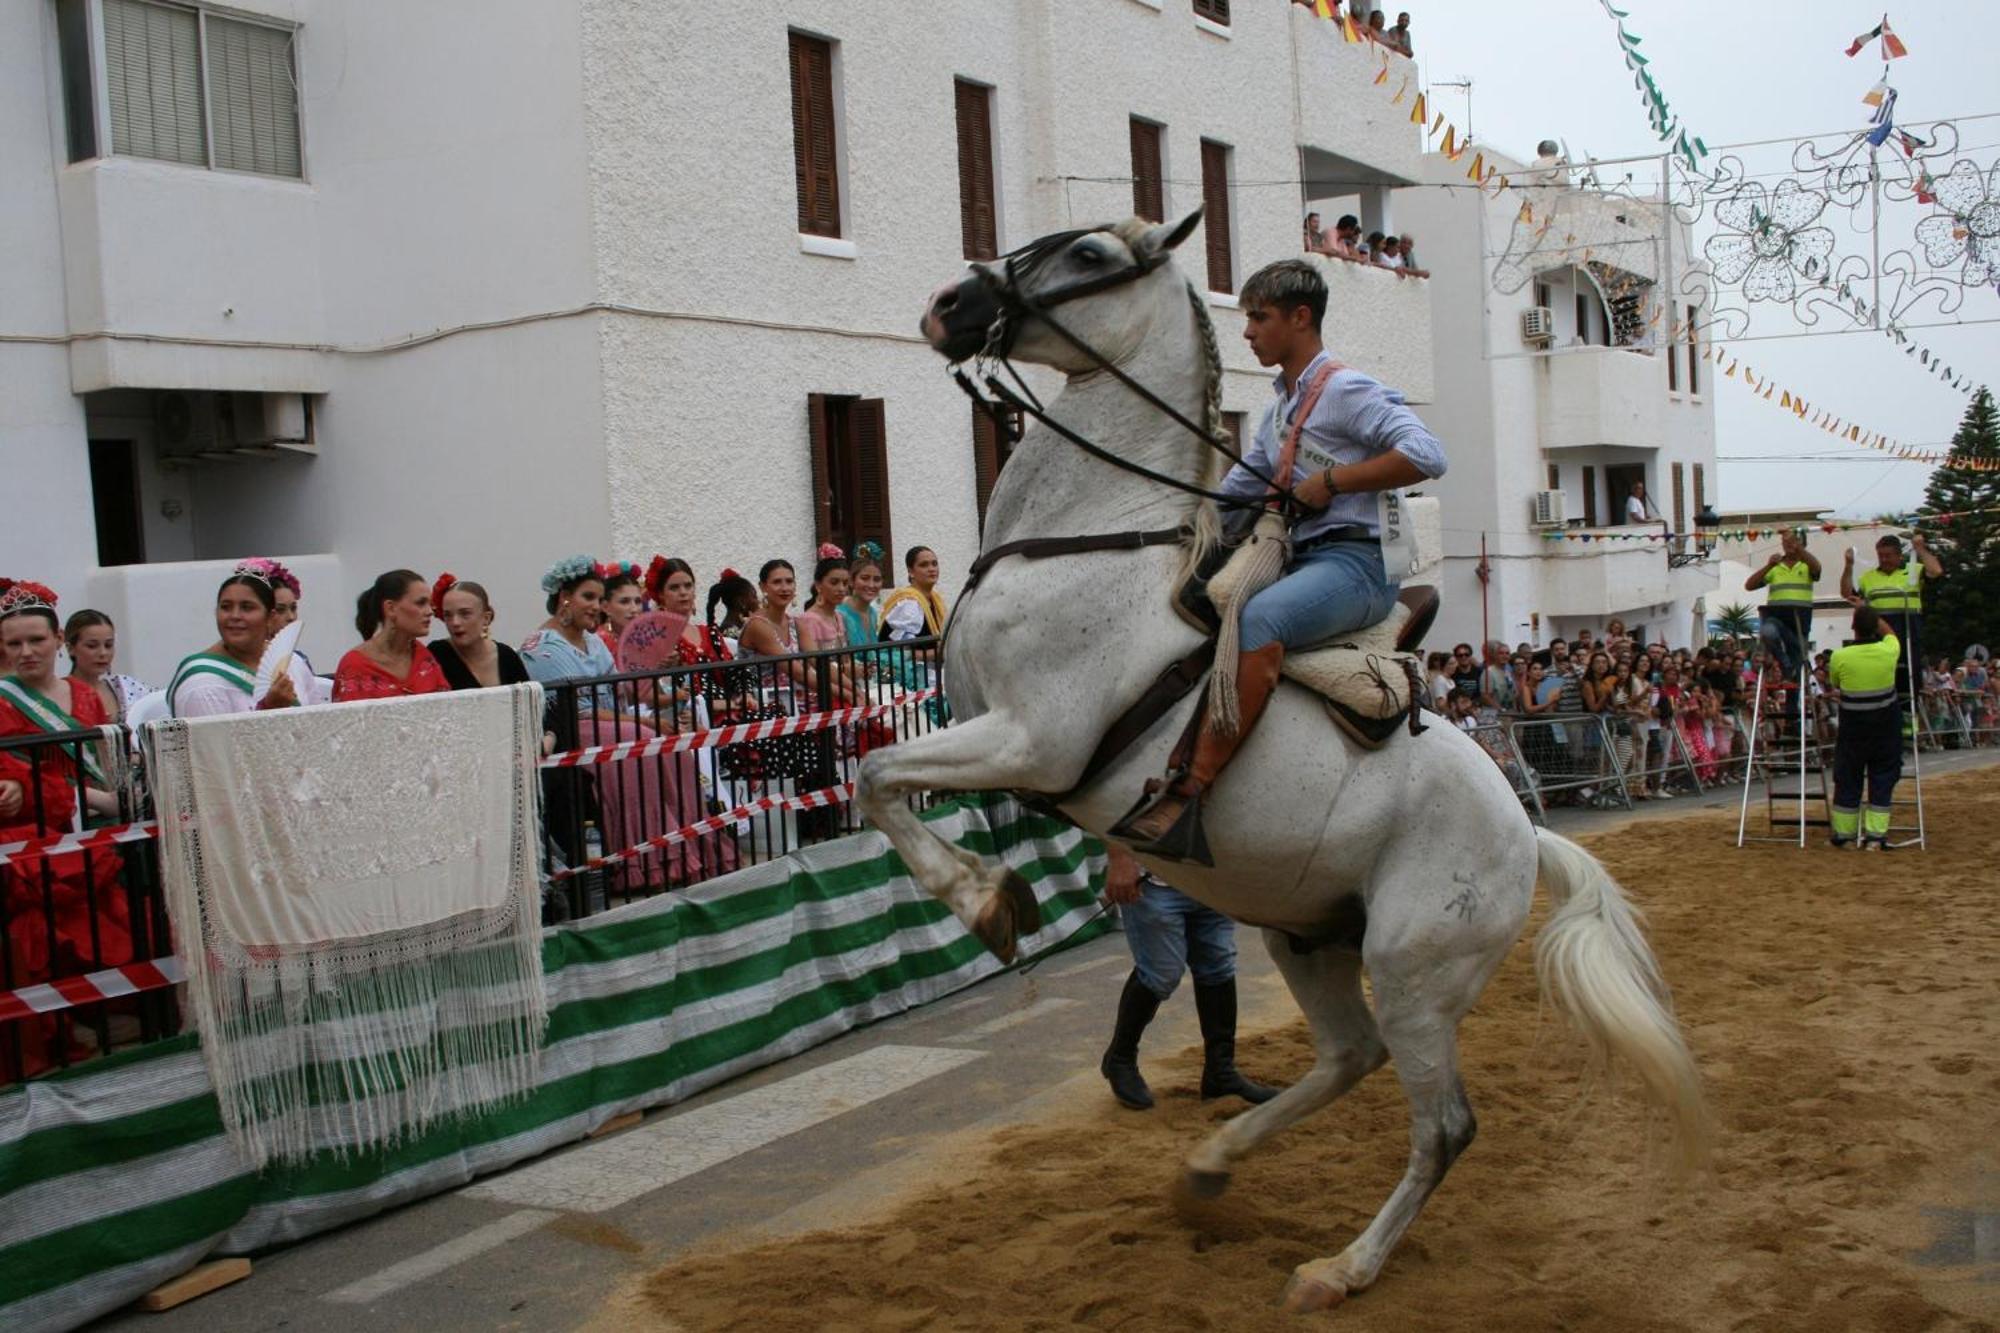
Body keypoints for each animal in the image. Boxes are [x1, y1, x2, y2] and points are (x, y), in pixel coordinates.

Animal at [852, 210, 1712, 1304]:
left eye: (1088, 255)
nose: (950, 304)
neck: (1086, 546)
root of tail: (1524, 831)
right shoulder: (976, 731)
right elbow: (877, 773)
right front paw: (990, 888)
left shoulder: (1028, 741)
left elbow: (874, 777)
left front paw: (985, 900)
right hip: (1307, 935)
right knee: (1349, 1056)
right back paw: (1209, 1168)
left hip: (1411, 969)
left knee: (1441, 1124)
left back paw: (1337, 1268)